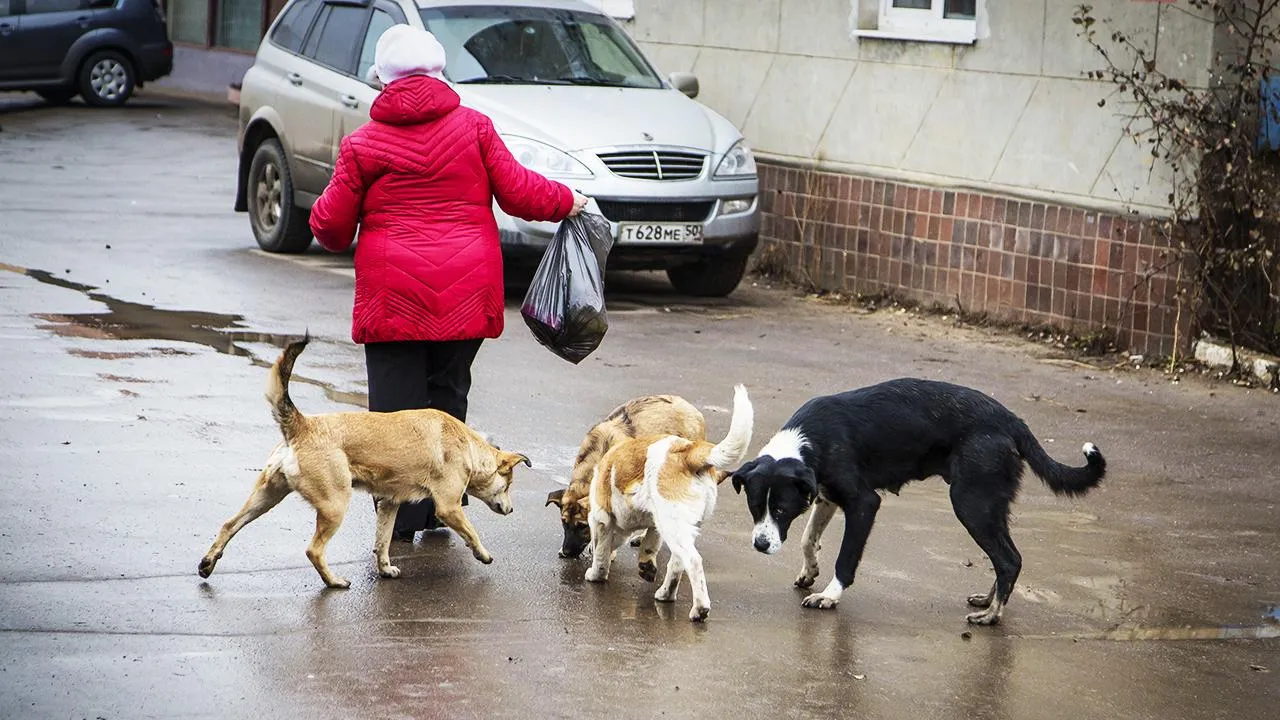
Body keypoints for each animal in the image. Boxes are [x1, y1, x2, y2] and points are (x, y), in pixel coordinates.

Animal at [197, 333, 527, 586]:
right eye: (508, 485)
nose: (511, 510)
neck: (467, 446)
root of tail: (302, 425)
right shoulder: (449, 507)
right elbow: (471, 531)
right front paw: (483, 553)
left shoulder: (389, 503)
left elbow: (382, 542)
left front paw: (385, 568)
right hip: (333, 505)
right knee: (313, 550)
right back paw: (333, 582)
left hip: (267, 496)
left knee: (229, 524)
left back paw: (208, 563)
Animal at [583, 384, 747, 620]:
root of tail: (688, 453)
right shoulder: (654, 523)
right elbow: (648, 545)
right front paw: (645, 565)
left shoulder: (601, 519)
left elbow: (601, 552)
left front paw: (596, 573)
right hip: (676, 527)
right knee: (678, 562)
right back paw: (666, 594)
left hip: (673, 524)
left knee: (693, 562)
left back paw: (700, 608)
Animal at [737, 376, 1105, 622]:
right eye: (755, 507)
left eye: (780, 508)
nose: (760, 545)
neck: (809, 440)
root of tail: (1011, 419)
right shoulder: (826, 496)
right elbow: (808, 539)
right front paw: (809, 571)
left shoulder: (863, 504)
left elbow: (845, 559)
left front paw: (829, 595)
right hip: (989, 504)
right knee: (1007, 558)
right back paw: (989, 602)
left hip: (971, 503)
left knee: (1009, 559)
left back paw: (993, 615)